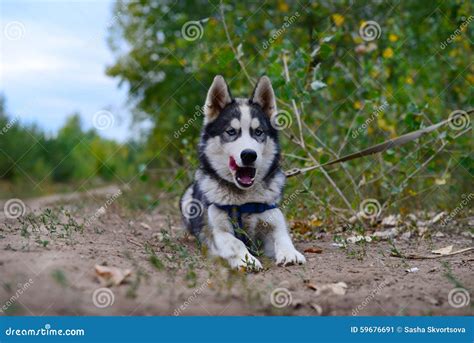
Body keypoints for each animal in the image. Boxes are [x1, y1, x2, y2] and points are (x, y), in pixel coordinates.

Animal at [180, 76, 306, 272]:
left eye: (258, 132)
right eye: (231, 131)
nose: (249, 155)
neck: (243, 202)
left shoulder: (273, 219)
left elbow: (282, 236)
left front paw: (290, 253)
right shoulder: (217, 230)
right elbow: (235, 242)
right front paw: (247, 260)